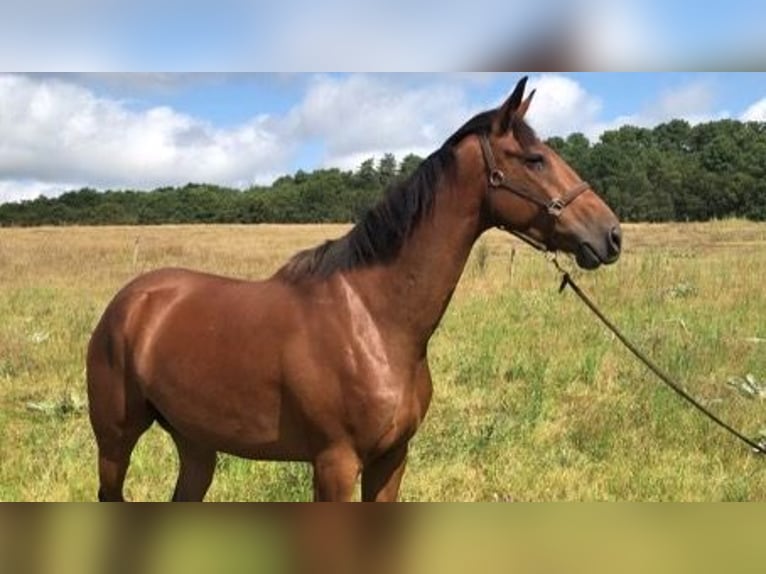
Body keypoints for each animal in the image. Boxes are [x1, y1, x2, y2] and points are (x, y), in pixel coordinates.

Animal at [85, 77, 624, 504]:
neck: (374, 320)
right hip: (115, 440)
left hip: (196, 443)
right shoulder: (336, 464)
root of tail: (131, 300)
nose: (610, 234)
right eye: (535, 159)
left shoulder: (392, 459)